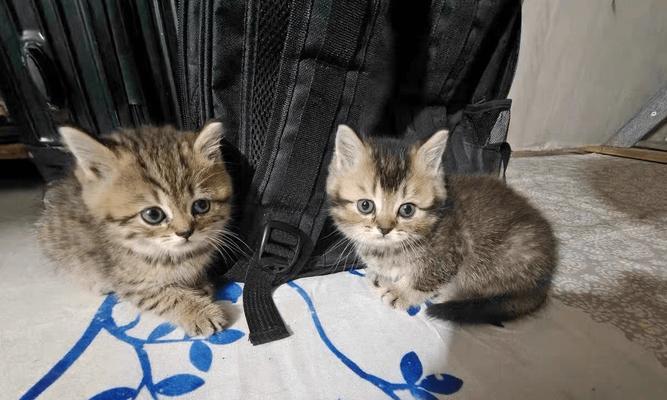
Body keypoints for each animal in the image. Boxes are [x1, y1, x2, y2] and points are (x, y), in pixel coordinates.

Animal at [37, 123, 235, 336]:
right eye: (153, 215)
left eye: (201, 206)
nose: (186, 232)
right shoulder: (131, 283)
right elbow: (166, 297)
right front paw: (198, 311)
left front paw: (200, 285)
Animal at [326, 125, 556, 324]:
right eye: (365, 205)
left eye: (407, 210)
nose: (384, 229)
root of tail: (544, 279)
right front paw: (383, 276)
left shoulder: (452, 250)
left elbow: (428, 276)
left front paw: (402, 292)